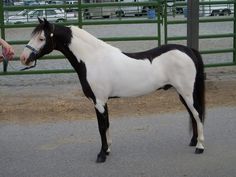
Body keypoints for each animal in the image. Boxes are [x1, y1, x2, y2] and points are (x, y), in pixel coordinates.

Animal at [20, 18, 205, 162]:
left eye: (41, 38)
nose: (23, 58)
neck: (92, 59)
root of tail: (188, 50)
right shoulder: (102, 102)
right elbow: (106, 125)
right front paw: (107, 150)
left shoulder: (99, 102)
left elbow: (101, 127)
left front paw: (101, 155)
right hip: (182, 93)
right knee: (193, 114)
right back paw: (193, 141)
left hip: (187, 92)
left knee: (197, 114)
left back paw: (200, 146)